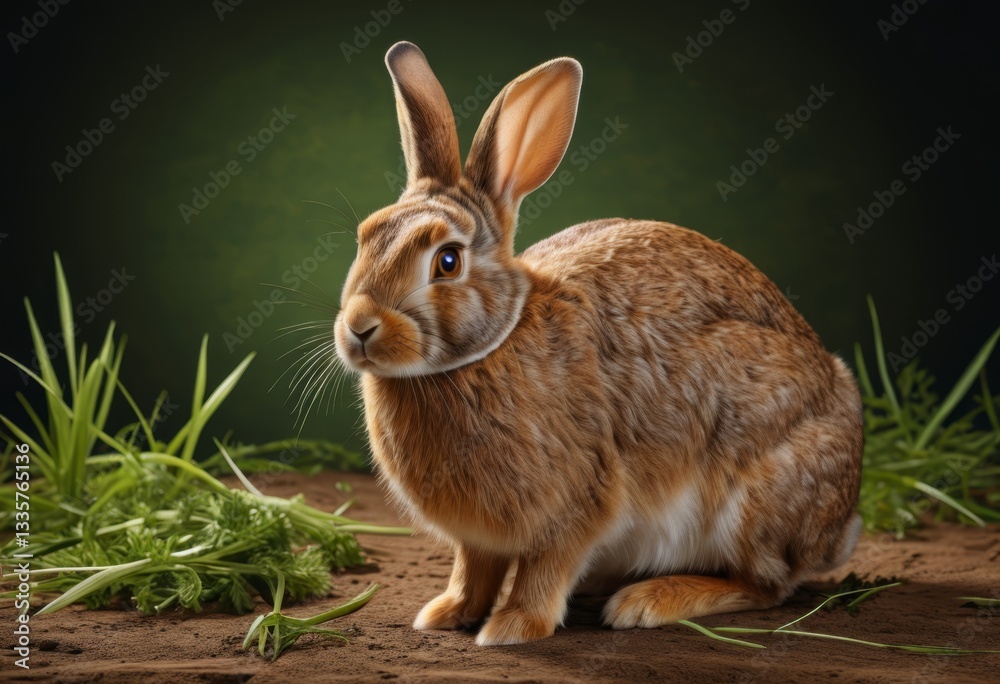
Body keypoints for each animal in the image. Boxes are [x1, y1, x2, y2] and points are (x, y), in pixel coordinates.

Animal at [333, 41, 864, 646]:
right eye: (366, 237)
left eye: (447, 261)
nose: (359, 326)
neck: (492, 347)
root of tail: (839, 527)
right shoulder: (480, 539)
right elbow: (474, 568)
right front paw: (447, 612)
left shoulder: (580, 502)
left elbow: (546, 567)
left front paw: (512, 626)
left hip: (752, 497)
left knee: (767, 586)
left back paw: (648, 600)